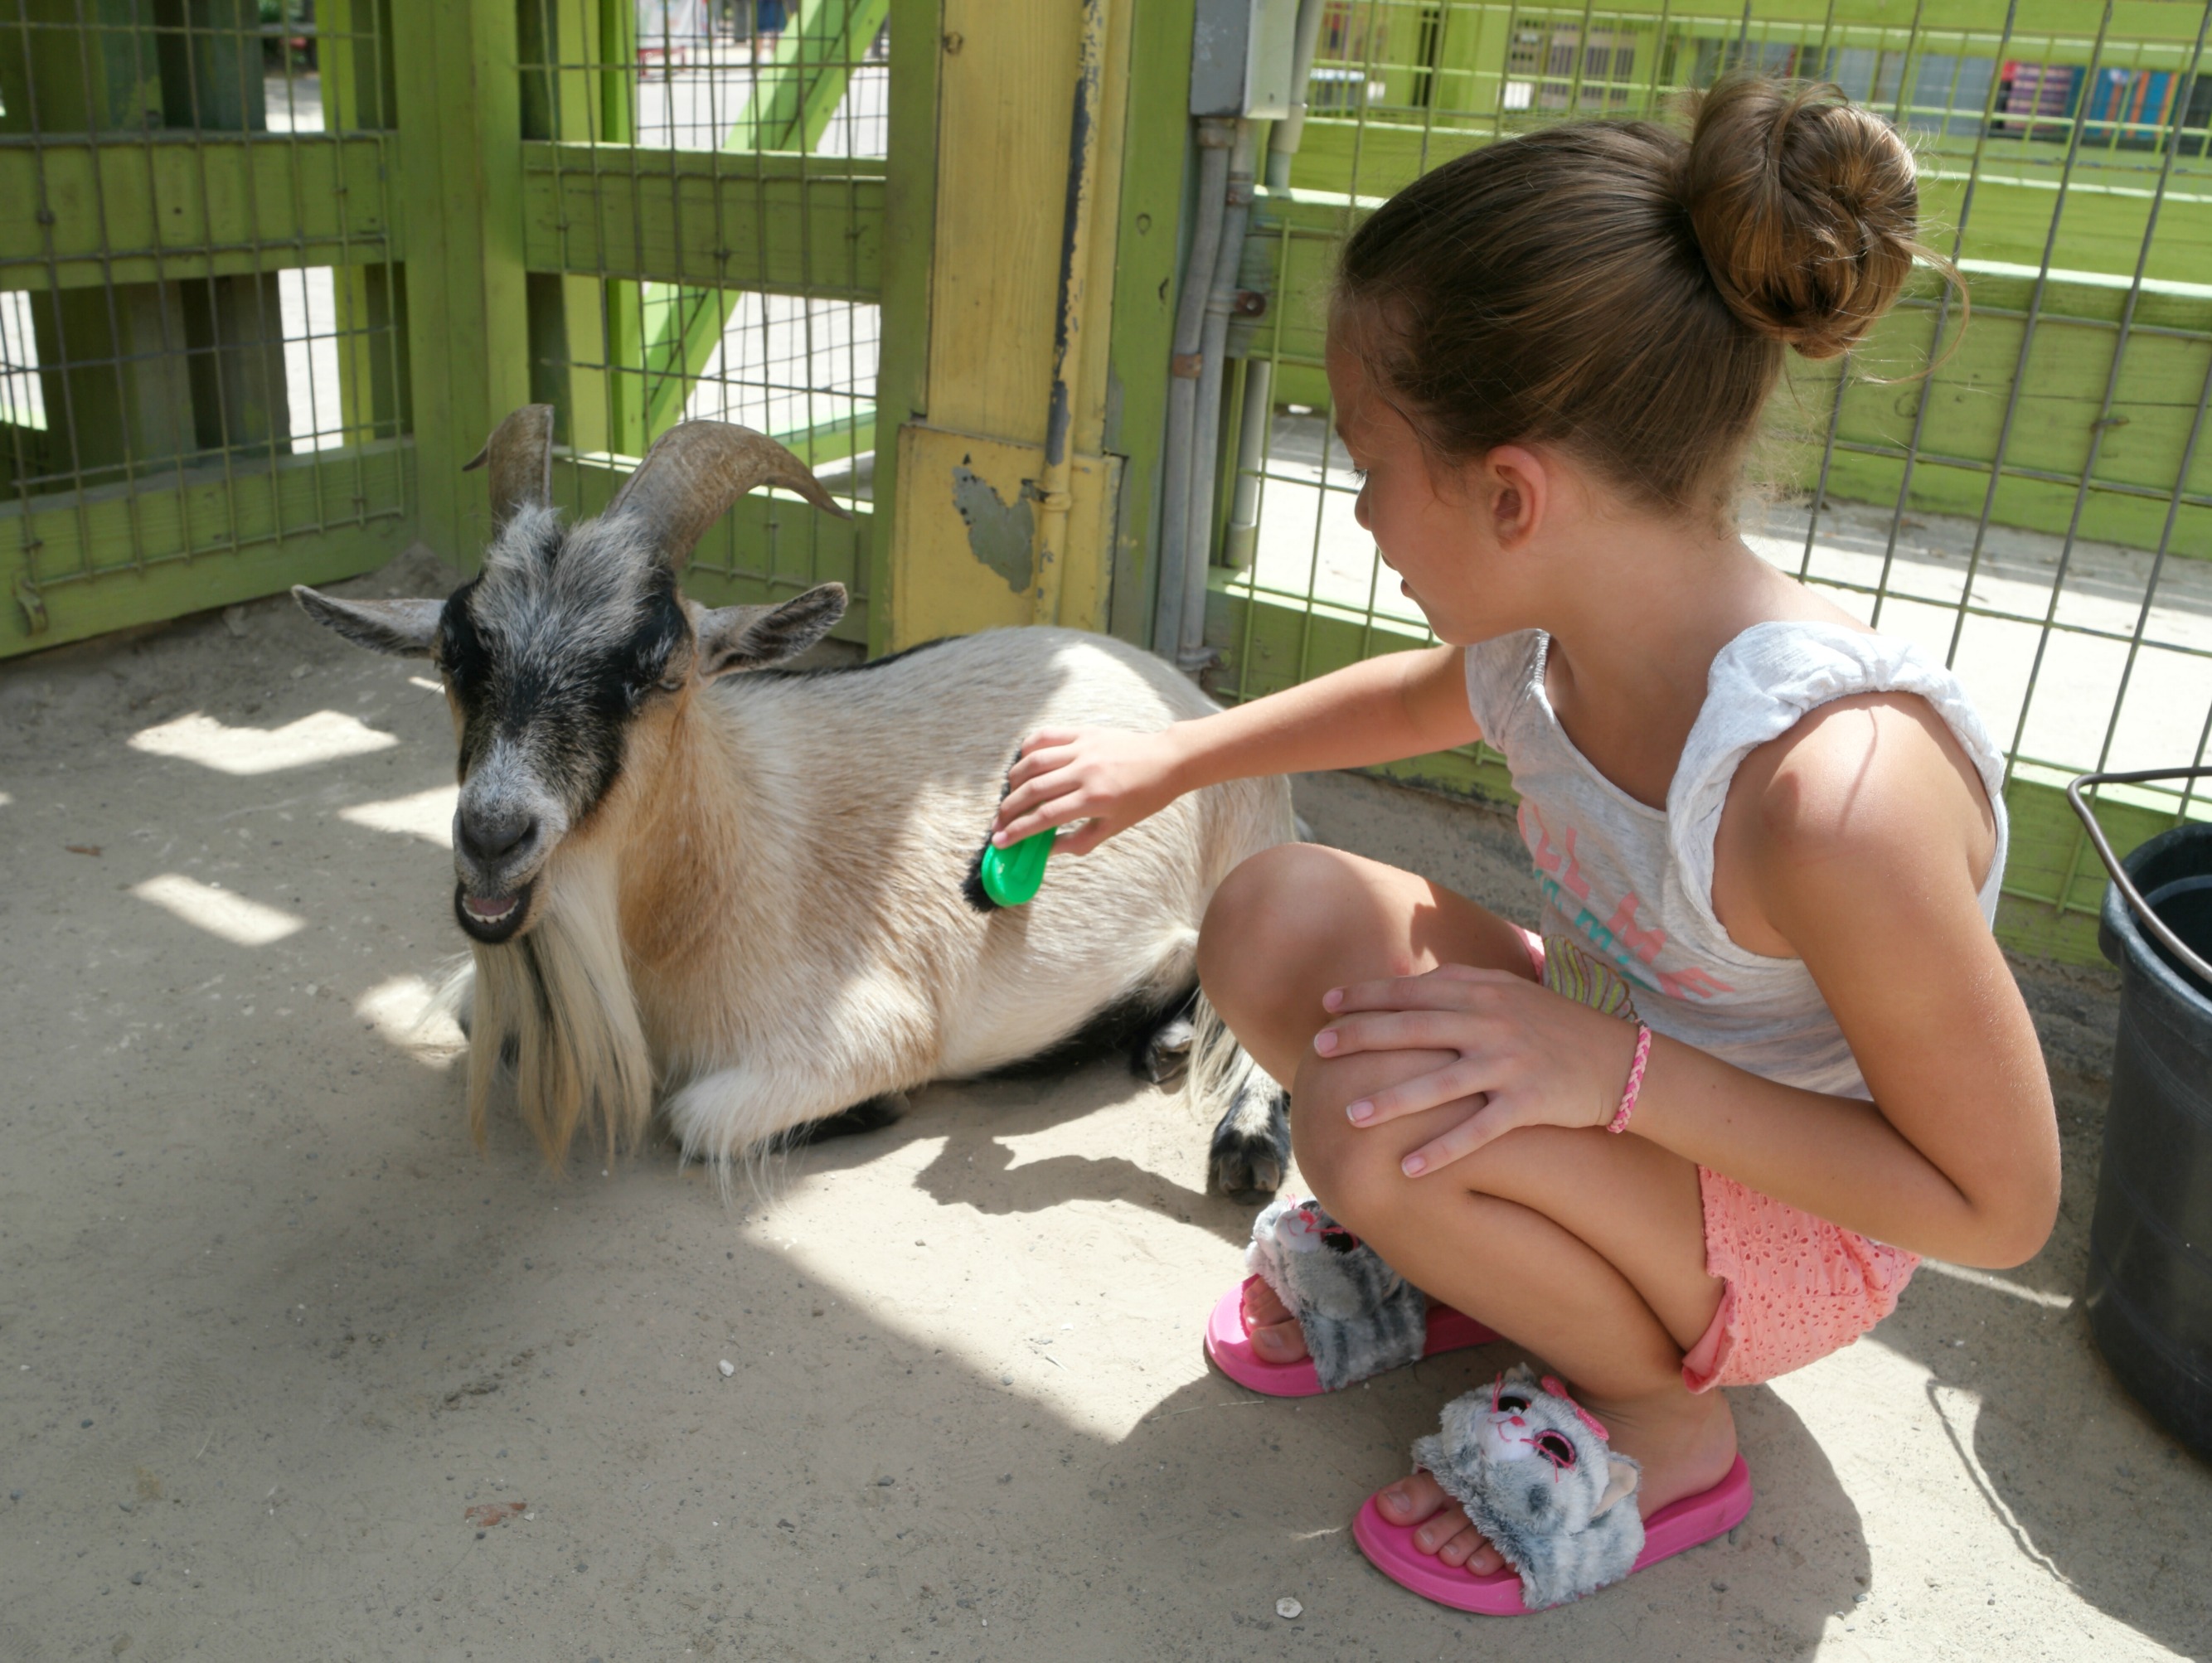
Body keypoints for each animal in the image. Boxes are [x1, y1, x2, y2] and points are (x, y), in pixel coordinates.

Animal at [295, 406, 1294, 1192]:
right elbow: (473, 1019)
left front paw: (879, 1106)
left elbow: (695, 1118)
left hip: (1252, 845)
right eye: (453, 653)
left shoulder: (861, 1031)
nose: (493, 833)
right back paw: (1164, 1040)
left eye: (661, 669)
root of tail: (1185, 689)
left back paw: (1245, 1141)